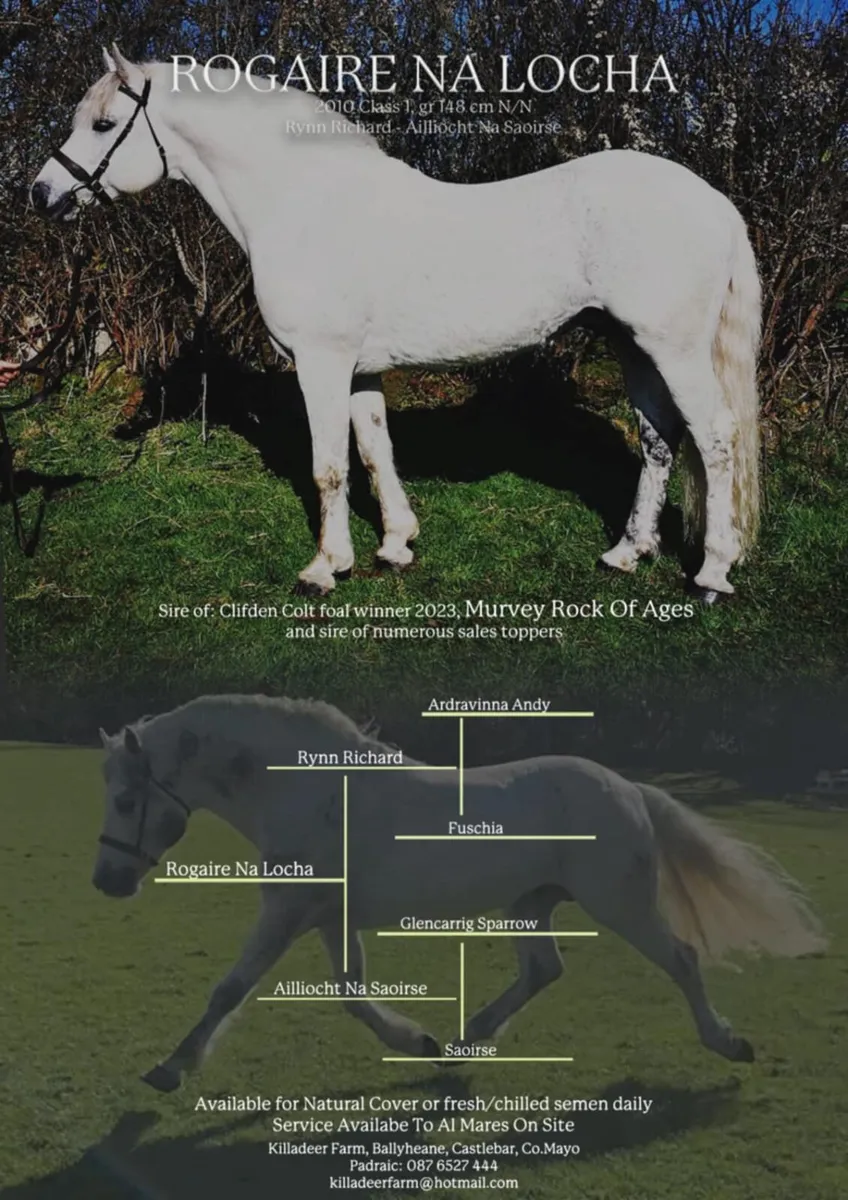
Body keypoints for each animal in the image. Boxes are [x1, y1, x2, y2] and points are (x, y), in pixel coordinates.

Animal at [31, 47, 762, 601]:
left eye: (104, 124)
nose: (42, 194)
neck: (303, 202)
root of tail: (712, 201)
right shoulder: (360, 371)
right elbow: (375, 453)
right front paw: (395, 545)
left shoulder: (322, 363)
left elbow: (329, 467)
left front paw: (325, 568)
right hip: (635, 347)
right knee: (659, 441)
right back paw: (626, 553)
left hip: (674, 349)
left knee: (715, 439)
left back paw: (712, 573)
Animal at [93, 694, 824, 1093]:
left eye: (127, 800)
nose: (106, 882)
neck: (306, 789)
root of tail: (627, 788)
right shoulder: (326, 914)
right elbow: (352, 994)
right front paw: (418, 1041)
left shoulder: (287, 911)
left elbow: (229, 990)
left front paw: (170, 1068)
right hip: (529, 904)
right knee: (545, 969)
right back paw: (468, 1041)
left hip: (620, 904)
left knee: (680, 959)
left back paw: (728, 1042)